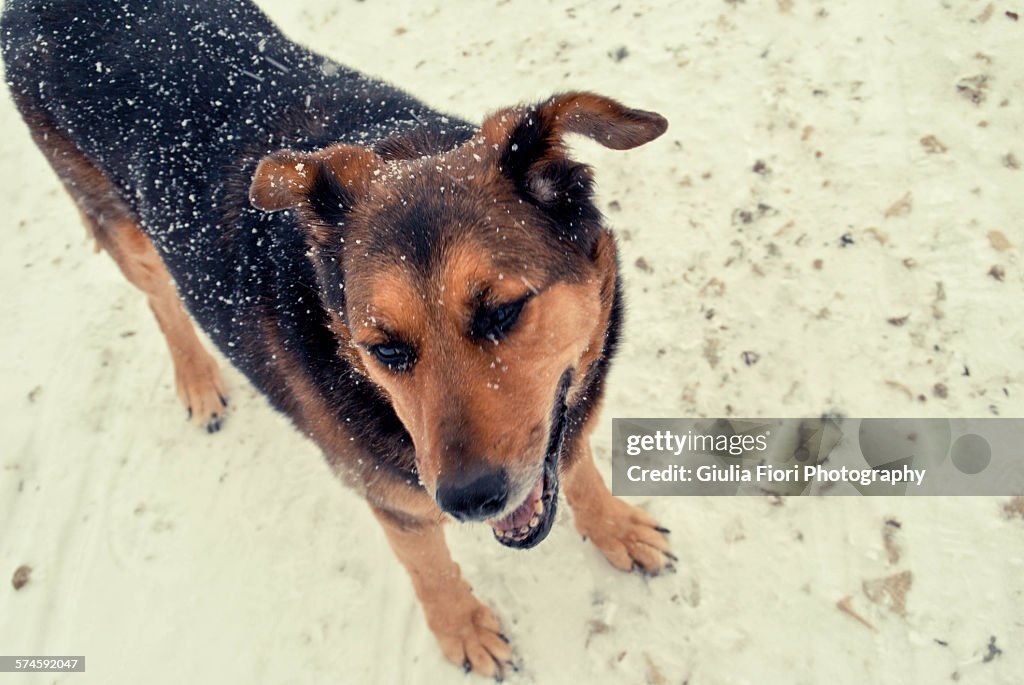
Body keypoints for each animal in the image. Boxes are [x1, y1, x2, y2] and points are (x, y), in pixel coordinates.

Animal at [2, 0, 671, 671]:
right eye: (385, 349)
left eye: (503, 312)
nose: (468, 500)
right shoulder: (395, 501)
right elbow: (431, 569)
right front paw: (462, 629)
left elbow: (577, 463)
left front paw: (614, 527)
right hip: (123, 229)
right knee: (162, 300)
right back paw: (197, 380)